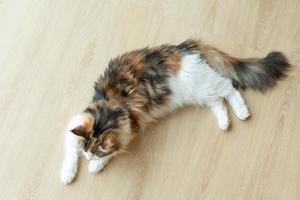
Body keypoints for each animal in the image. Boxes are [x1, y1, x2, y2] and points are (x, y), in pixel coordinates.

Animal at [59, 39, 290, 184]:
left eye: (95, 153)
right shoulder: (76, 123)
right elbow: (70, 151)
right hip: (199, 92)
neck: (108, 111)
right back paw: (225, 123)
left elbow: (113, 152)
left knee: (229, 87)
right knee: (218, 101)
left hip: (202, 85)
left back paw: (242, 112)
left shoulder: (129, 129)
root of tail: (186, 46)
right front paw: (67, 174)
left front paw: (94, 167)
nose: (87, 157)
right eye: (85, 150)